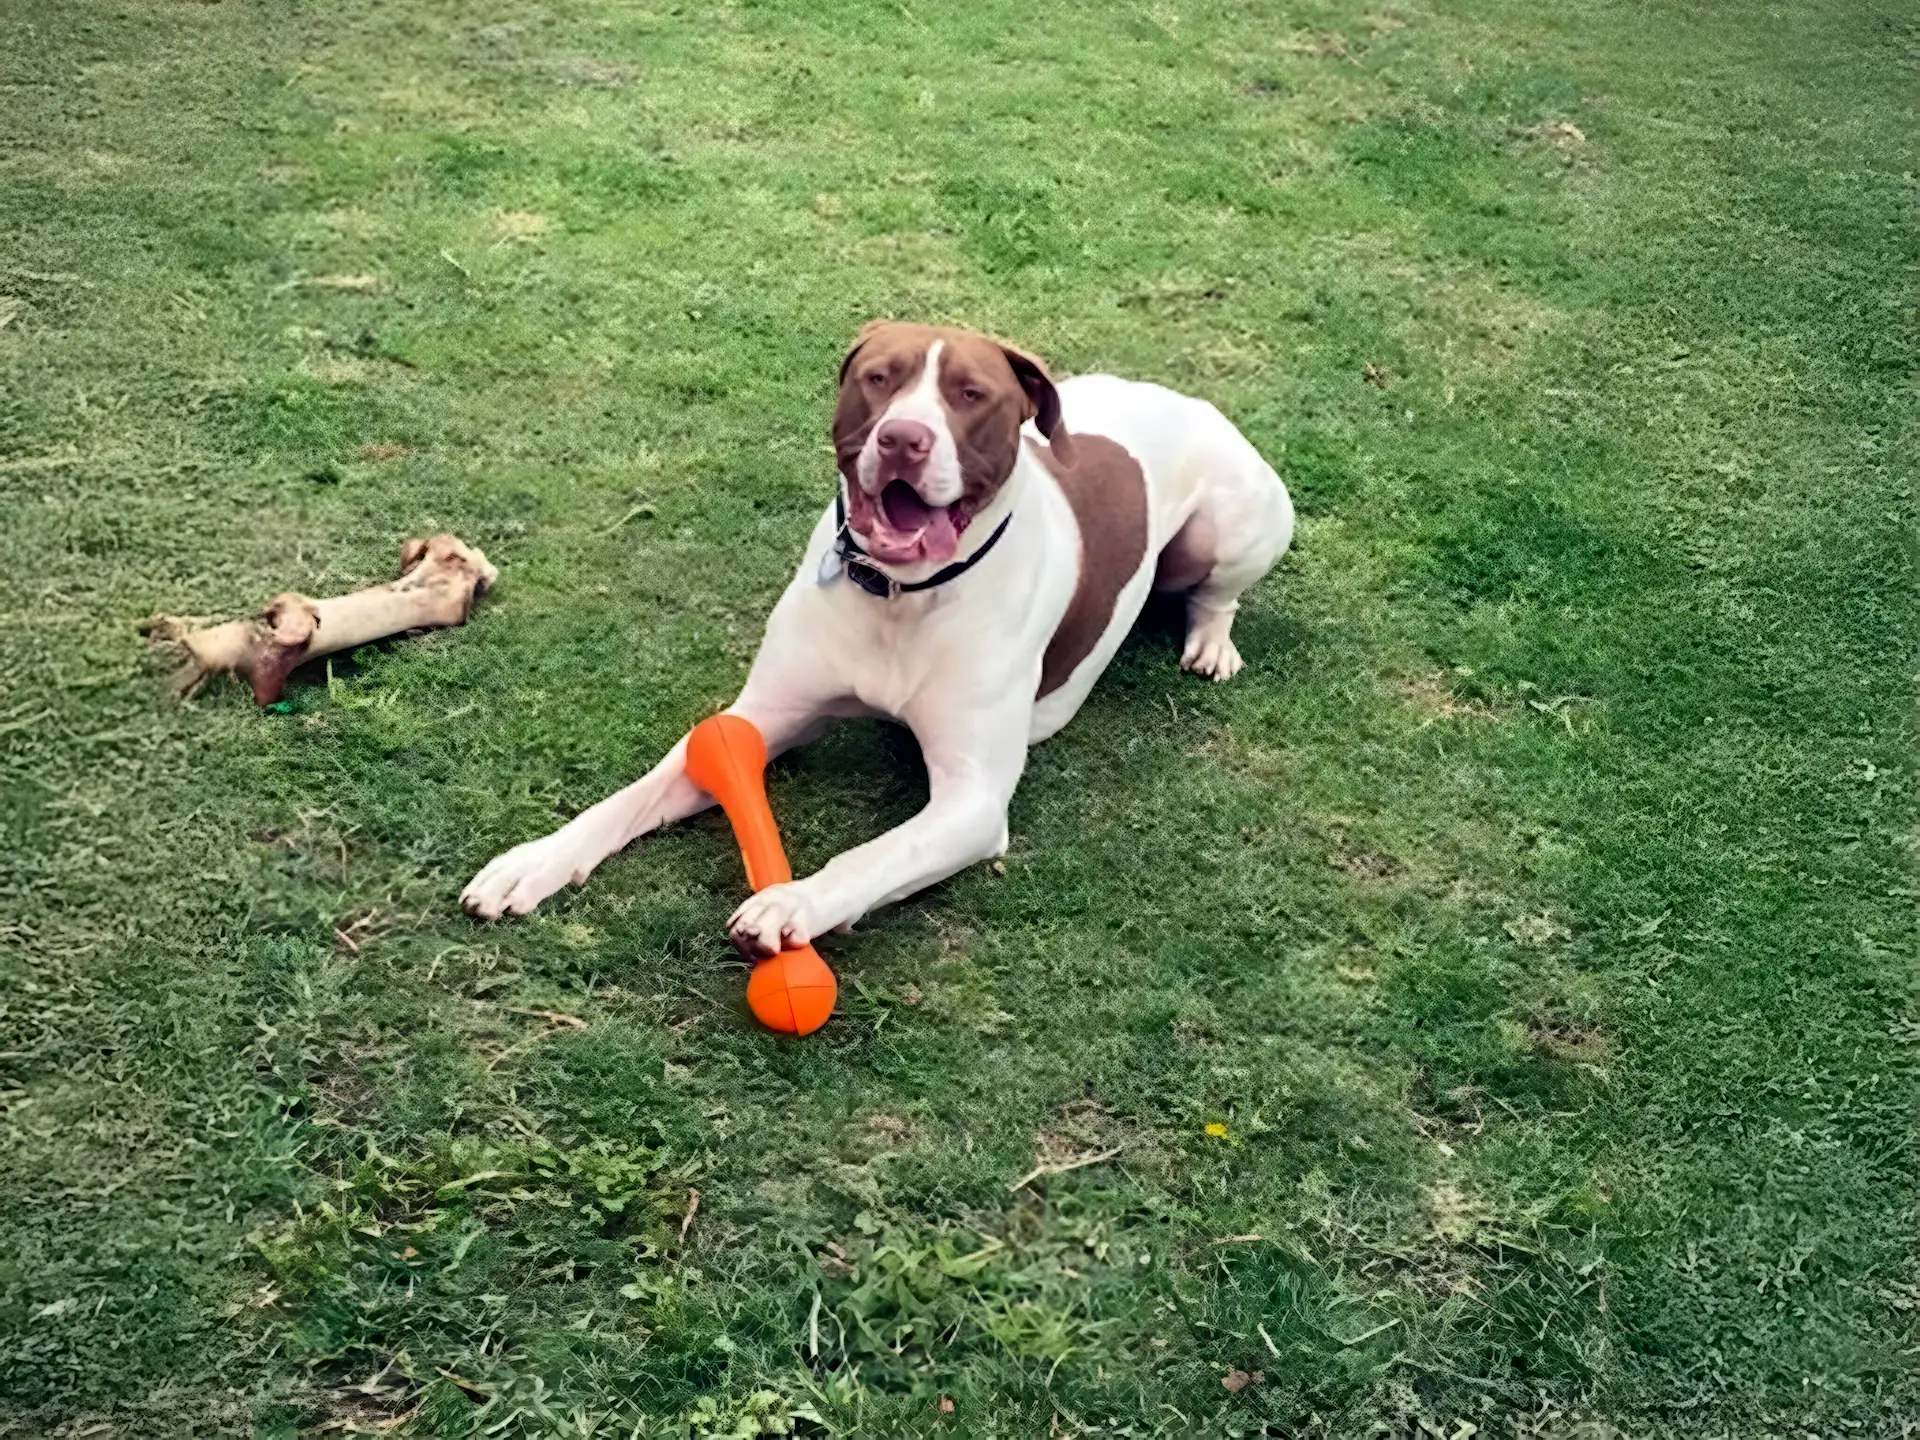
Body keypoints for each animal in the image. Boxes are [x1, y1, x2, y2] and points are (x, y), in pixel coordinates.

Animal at [458, 326, 1297, 960]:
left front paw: (793, 901)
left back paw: (1212, 644)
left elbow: (879, 853)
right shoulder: (754, 719)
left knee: (1216, 593)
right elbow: (632, 796)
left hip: (1243, 521)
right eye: (879, 379)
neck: (902, 597)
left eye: (970, 394)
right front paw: (534, 861)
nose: (903, 438)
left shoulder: (972, 798)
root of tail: (1182, 398)